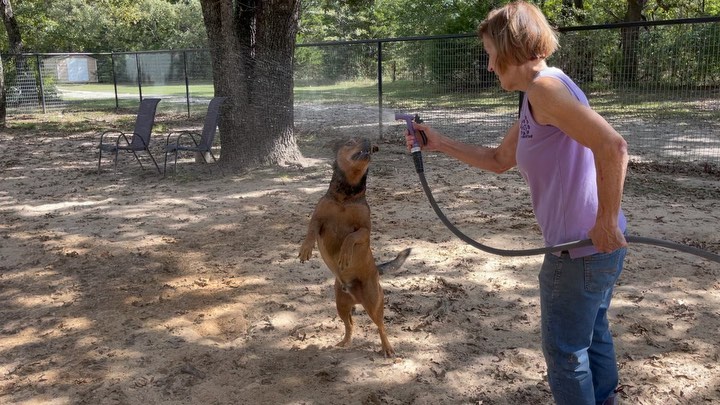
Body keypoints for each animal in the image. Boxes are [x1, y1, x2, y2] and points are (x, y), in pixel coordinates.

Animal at [298, 137, 410, 356]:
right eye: (350, 141)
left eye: (370, 145)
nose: (368, 141)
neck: (346, 196)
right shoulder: (318, 219)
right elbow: (310, 230)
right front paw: (306, 249)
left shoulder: (365, 230)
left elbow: (351, 236)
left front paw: (344, 254)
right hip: (340, 305)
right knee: (350, 325)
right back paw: (345, 342)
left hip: (374, 304)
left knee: (381, 326)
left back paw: (387, 348)